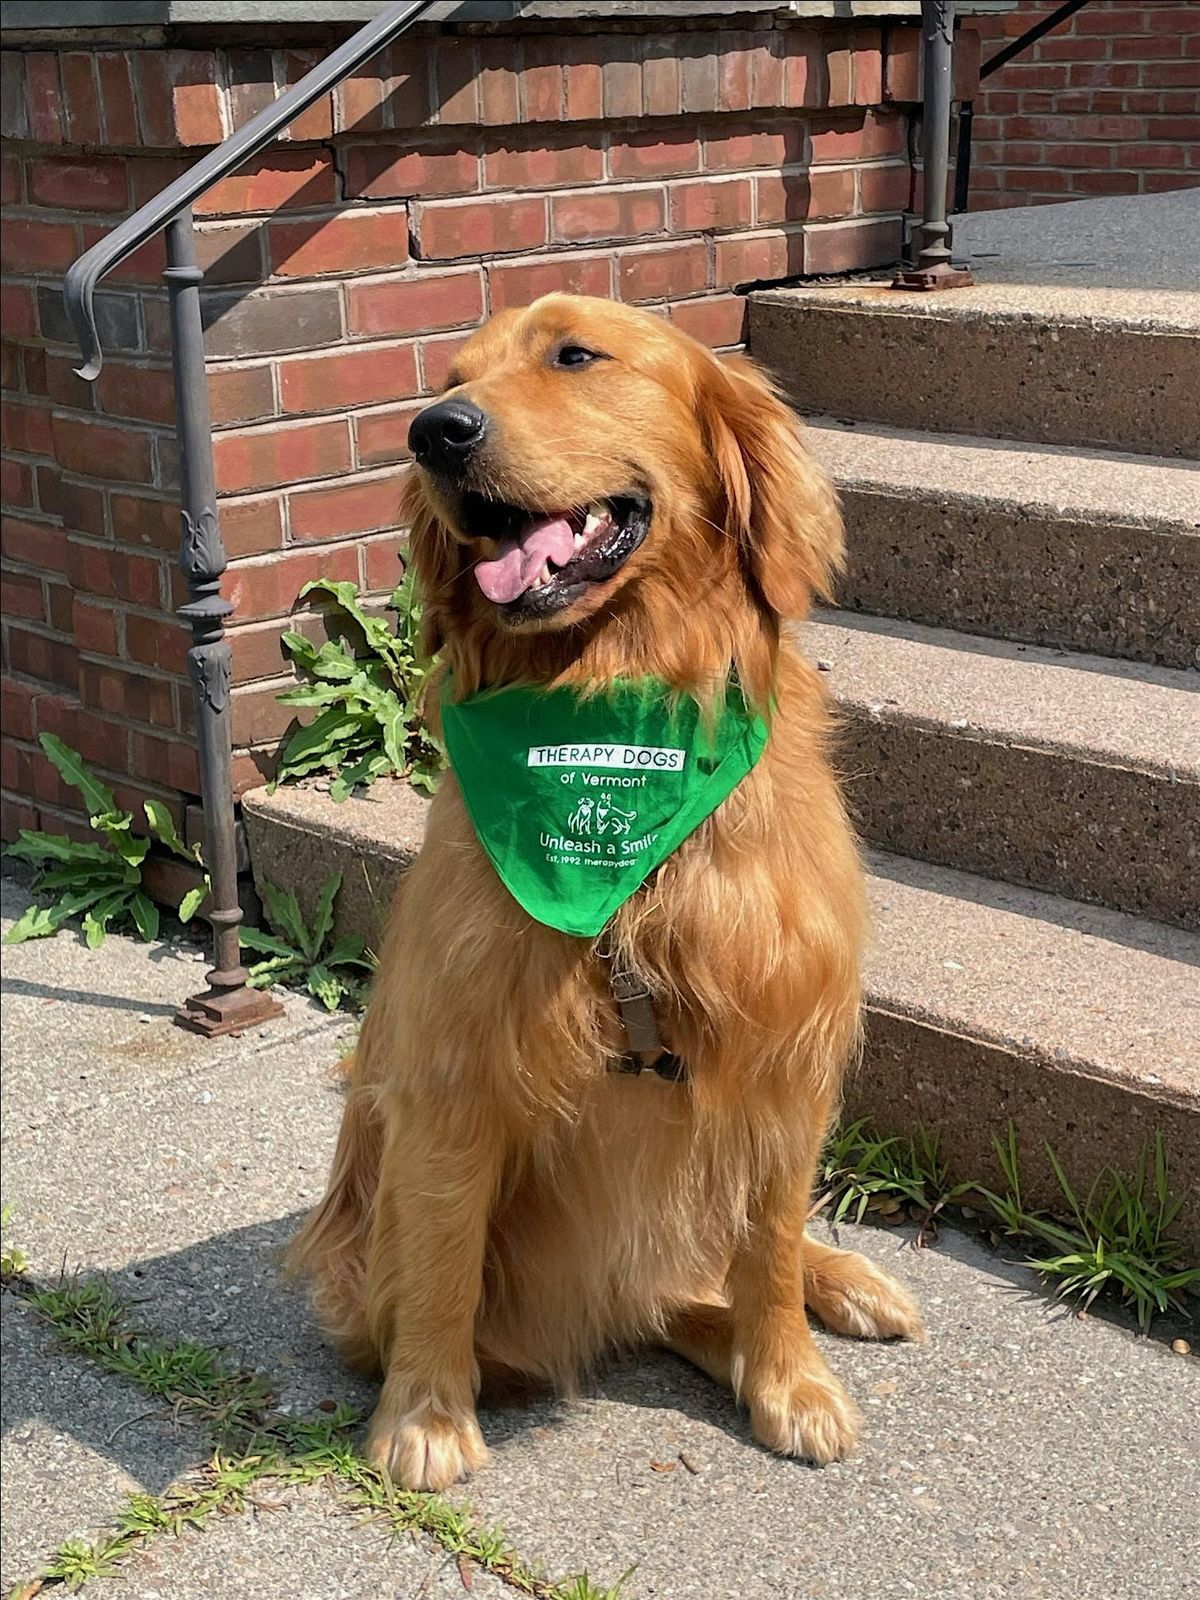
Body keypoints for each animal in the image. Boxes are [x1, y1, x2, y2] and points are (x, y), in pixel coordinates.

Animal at [289, 294, 921, 1491]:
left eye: (575, 354)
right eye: (453, 377)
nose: (433, 432)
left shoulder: (787, 1053)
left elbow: (769, 1247)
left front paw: (793, 1375)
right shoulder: (455, 1068)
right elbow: (442, 1262)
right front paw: (425, 1415)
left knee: (728, 1262)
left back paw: (842, 1285)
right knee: (661, 1300)